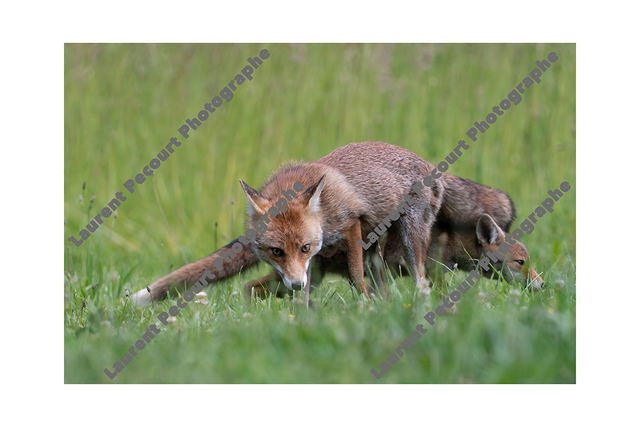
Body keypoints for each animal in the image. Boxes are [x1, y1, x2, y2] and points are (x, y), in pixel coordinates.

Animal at [131, 141, 542, 306]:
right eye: (275, 251)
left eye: (304, 246)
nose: (542, 286)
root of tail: (430, 165)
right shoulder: (306, 266)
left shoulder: (351, 227)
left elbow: (358, 278)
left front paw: (362, 309)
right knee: (251, 288)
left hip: (408, 238)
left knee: (419, 280)